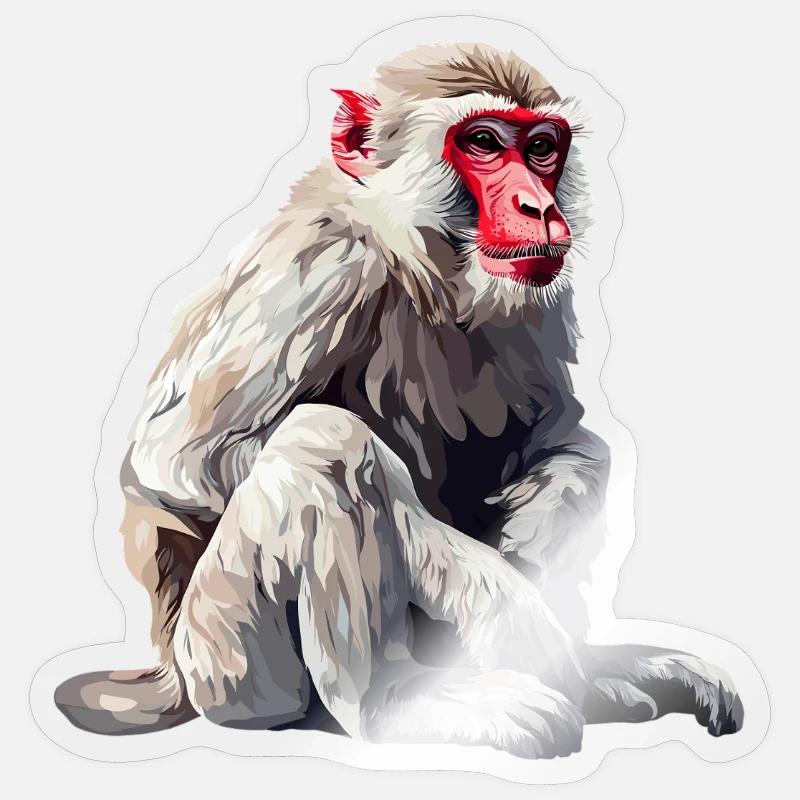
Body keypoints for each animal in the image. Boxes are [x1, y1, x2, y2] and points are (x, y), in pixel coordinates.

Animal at [54, 43, 743, 758]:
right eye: (483, 142)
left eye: (541, 148)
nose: (537, 205)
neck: (418, 258)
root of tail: (171, 671)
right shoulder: (321, 264)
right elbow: (178, 464)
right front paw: (486, 590)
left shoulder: (537, 294)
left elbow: (562, 432)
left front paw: (551, 512)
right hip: (226, 664)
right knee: (323, 445)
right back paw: (395, 705)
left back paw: (594, 676)